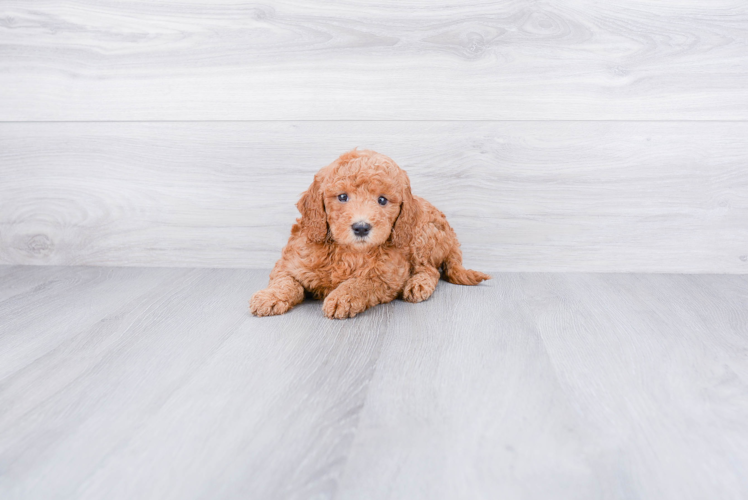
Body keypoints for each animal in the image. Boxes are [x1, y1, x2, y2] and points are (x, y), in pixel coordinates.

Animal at [251, 149, 490, 320]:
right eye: (342, 197)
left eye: (382, 200)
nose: (361, 227)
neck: (347, 251)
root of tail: (452, 238)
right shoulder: (291, 262)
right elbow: (284, 280)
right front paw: (269, 296)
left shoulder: (387, 276)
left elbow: (362, 282)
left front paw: (342, 297)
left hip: (421, 237)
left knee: (430, 270)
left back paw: (418, 285)